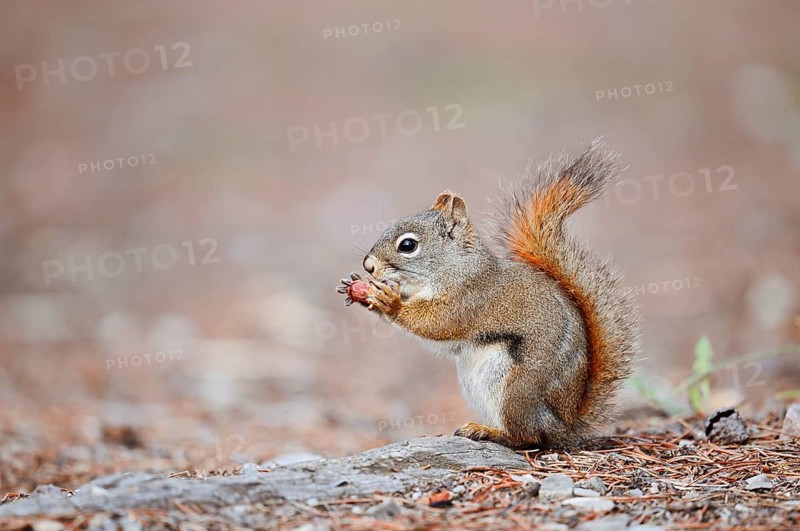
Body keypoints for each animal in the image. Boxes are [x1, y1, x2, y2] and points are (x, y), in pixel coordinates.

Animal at [337, 139, 640, 449]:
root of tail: (565, 426)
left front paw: (391, 302)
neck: (454, 265)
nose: (368, 265)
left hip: (515, 388)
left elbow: (438, 323)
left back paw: (488, 432)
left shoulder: (469, 297)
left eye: (408, 245)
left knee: (527, 436)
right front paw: (358, 290)